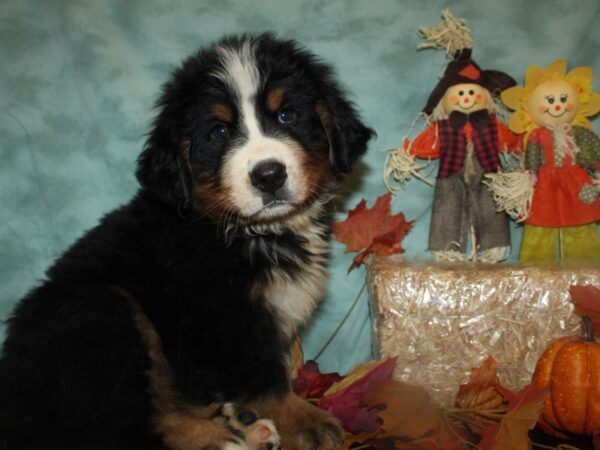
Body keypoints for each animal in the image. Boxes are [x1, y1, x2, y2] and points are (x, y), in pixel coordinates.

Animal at [0, 32, 372, 450]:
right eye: (219, 132)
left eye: (286, 116)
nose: (269, 175)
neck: (253, 232)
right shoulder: (224, 319)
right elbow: (263, 376)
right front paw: (305, 421)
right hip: (103, 311)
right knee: (124, 427)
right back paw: (224, 439)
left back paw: (243, 425)